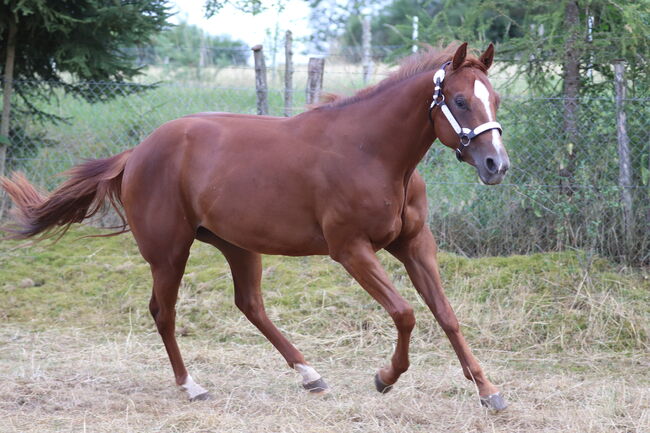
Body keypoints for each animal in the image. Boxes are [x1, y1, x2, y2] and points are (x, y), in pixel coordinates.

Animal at [1, 43, 506, 408]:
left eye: (494, 98)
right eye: (460, 100)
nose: (496, 165)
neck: (373, 153)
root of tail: (137, 152)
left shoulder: (415, 245)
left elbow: (446, 315)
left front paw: (488, 392)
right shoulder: (351, 250)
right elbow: (405, 313)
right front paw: (385, 378)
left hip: (238, 246)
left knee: (250, 305)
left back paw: (310, 375)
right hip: (169, 252)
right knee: (164, 312)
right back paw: (192, 386)